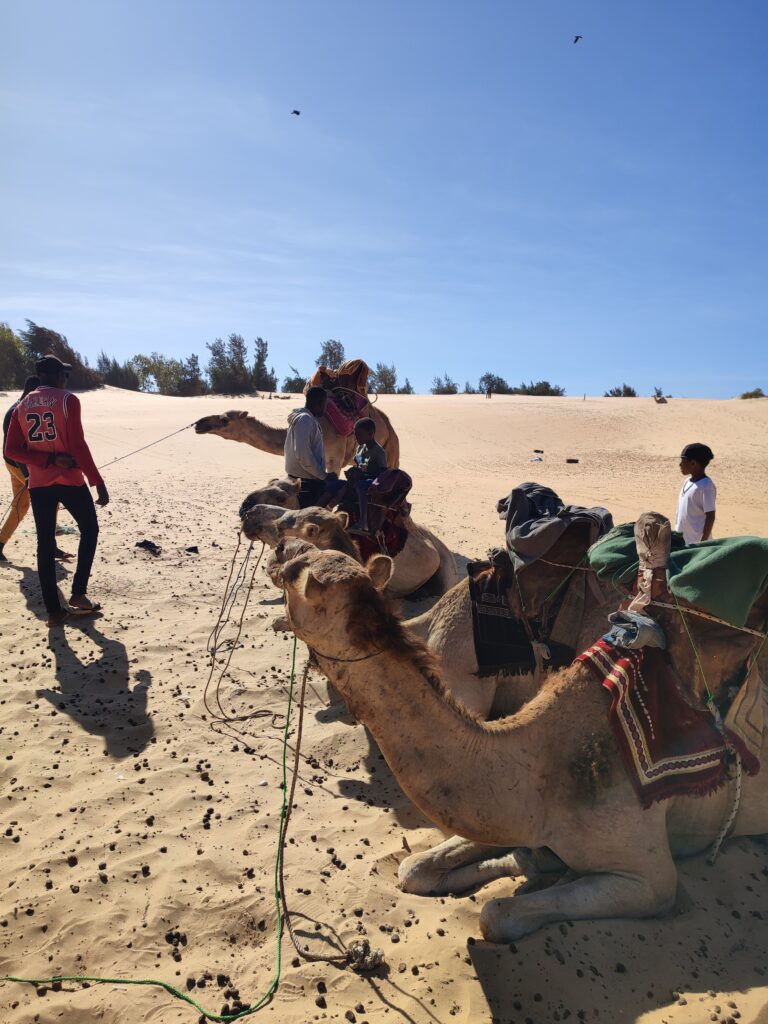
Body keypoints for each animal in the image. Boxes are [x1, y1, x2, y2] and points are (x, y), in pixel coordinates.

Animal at [274, 540, 768, 937]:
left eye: (298, 570)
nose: (283, 549)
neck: (546, 767)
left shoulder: (650, 877)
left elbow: (495, 915)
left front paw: (538, 870)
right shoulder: (510, 811)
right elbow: (415, 869)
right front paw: (531, 861)